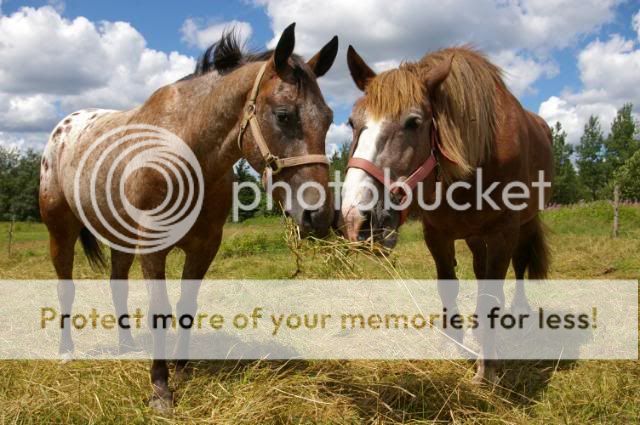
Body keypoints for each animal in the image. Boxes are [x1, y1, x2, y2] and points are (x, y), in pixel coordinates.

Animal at [38, 24, 340, 410]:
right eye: (284, 115)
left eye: (329, 118)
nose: (319, 216)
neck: (186, 152)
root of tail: (62, 130)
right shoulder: (153, 248)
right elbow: (160, 308)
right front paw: (160, 388)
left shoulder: (204, 246)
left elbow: (186, 305)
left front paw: (181, 369)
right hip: (60, 231)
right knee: (66, 288)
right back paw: (67, 351)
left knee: (117, 283)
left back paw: (126, 346)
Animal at [340, 46, 556, 384]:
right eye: (352, 122)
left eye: (413, 122)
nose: (356, 220)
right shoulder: (437, 234)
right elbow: (449, 285)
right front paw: (452, 341)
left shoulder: (504, 232)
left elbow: (491, 293)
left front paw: (487, 367)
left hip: (526, 222)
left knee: (520, 265)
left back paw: (517, 311)